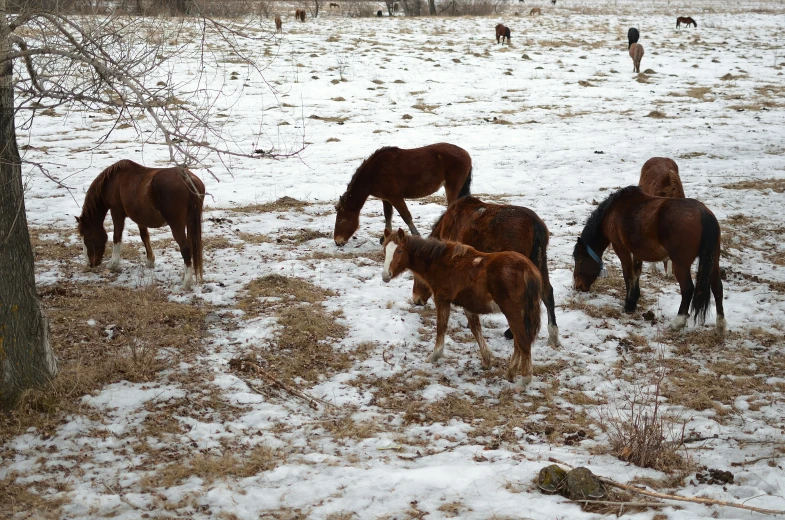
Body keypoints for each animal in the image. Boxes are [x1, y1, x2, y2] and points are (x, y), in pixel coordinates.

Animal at [76, 159, 205, 288]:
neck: (114, 180)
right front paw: (150, 261)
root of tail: (188, 179)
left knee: (185, 248)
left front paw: (113, 264)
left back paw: (186, 282)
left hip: (176, 225)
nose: (90, 263)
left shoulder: (117, 213)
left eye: (88, 236)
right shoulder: (140, 218)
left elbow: (116, 237)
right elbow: (144, 237)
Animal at [332, 143, 472, 247]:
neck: (374, 172)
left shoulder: (395, 197)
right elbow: (388, 215)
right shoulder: (386, 199)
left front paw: (416, 235)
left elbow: (406, 216)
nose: (337, 241)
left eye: (340, 220)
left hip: (452, 187)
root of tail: (466, 154)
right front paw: (384, 238)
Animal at [382, 231, 544, 386]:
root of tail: (528, 270)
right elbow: (475, 329)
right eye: (384, 249)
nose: (385, 276)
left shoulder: (442, 299)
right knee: (519, 341)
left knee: (523, 341)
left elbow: (441, 327)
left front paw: (434, 355)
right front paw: (486, 360)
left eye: (399, 250)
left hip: (514, 313)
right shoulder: (468, 305)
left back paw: (524, 381)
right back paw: (510, 374)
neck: (441, 261)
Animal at [410, 197, 556, 348]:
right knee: (547, 293)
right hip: (539, 261)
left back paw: (511, 333)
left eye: (417, 274)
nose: (416, 299)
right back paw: (553, 336)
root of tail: (536, 226)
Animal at [568, 187, 724, 334]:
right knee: (717, 287)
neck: (613, 210)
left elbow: (628, 274)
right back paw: (720, 326)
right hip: (713, 261)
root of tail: (703, 214)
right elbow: (636, 273)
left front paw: (629, 304)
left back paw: (678, 322)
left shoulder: (621, 248)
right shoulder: (637, 251)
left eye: (579, 260)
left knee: (687, 288)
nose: (578, 286)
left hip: (681, 264)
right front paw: (634, 300)